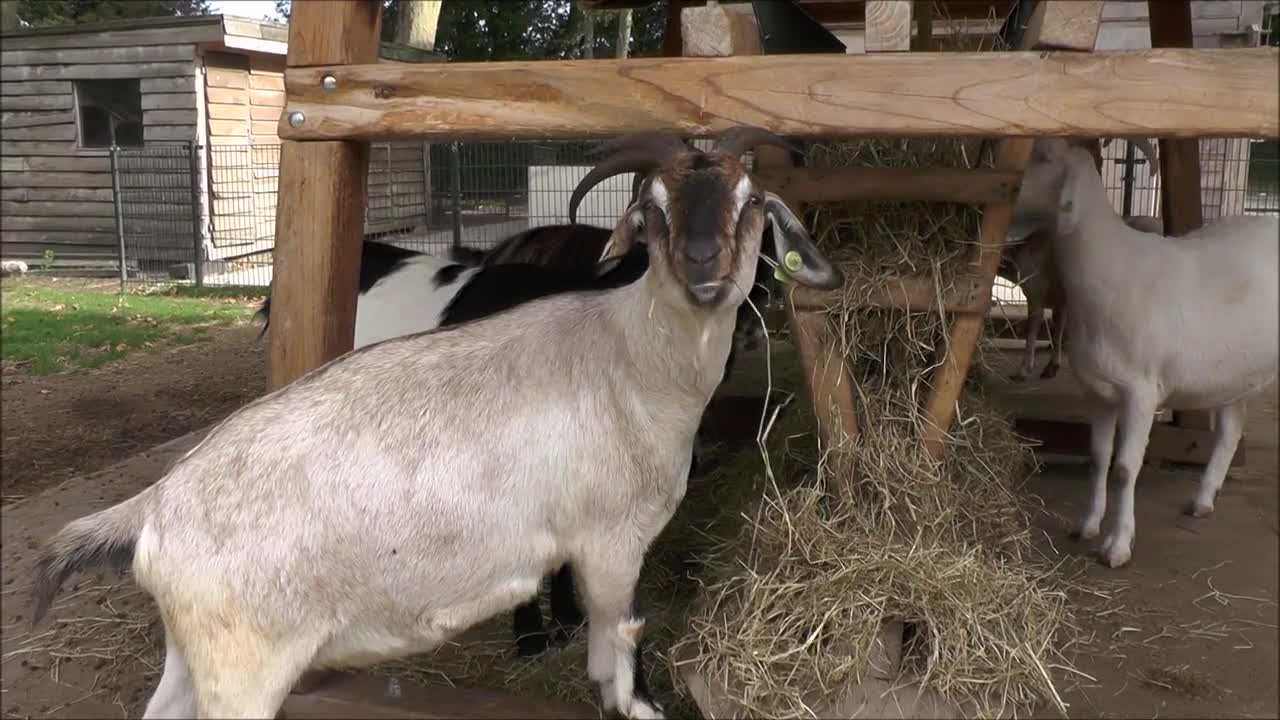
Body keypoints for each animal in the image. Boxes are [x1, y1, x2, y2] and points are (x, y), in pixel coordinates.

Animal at [30, 127, 844, 717]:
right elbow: (627, 644)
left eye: (750, 201)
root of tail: (152, 509)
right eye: (656, 207)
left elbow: (599, 656)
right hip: (244, 664)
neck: (632, 352)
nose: (705, 269)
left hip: (192, 653)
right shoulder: (611, 540)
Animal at [1013, 135, 1274, 566]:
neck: (1111, 275)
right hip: (1237, 369)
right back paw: (1202, 500)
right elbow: (1098, 459)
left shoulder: (1141, 391)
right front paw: (1086, 526)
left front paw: (1117, 545)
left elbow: (1123, 468)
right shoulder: (1097, 390)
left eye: (1044, 155)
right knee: (1232, 428)